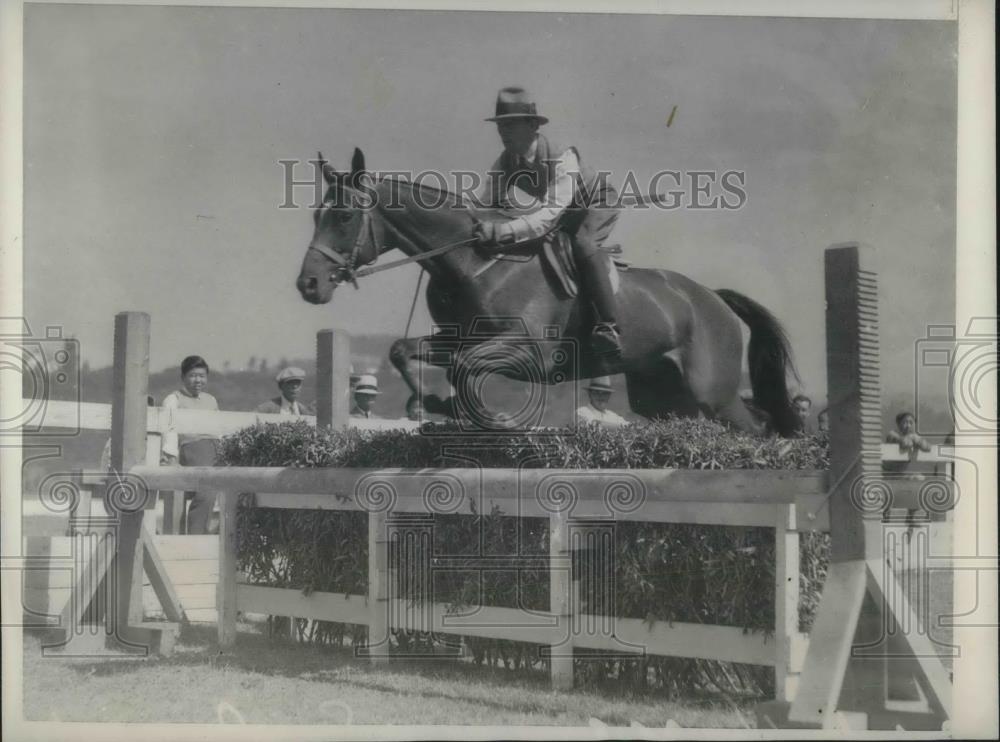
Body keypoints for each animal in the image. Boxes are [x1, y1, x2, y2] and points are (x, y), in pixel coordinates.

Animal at [294, 148, 796, 436]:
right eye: (316, 213)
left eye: (343, 216)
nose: (308, 284)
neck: (476, 263)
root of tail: (713, 298)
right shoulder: (459, 339)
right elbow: (404, 350)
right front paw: (430, 402)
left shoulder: (529, 351)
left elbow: (462, 366)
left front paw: (474, 413)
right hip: (664, 396)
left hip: (714, 392)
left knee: (759, 423)